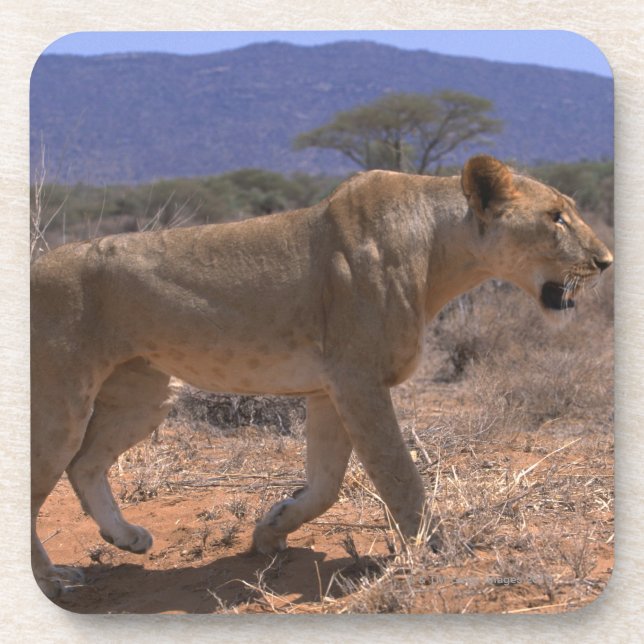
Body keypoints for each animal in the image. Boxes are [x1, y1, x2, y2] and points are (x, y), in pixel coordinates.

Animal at [31, 155, 612, 598]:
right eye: (556, 217)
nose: (605, 260)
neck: (440, 250)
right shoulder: (358, 379)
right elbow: (399, 474)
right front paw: (441, 548)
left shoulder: (328, 389)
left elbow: (327, 485)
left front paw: (270, 531)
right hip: (60, 401)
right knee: (39, 482)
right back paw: (54, 579)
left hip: (145, 395)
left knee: (84, 465)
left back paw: (126, 538)